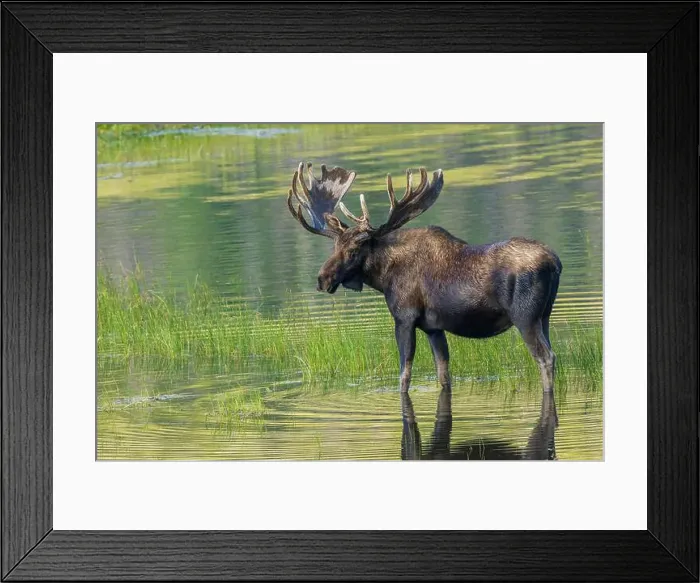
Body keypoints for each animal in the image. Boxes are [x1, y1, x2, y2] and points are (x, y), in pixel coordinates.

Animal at [286, 162, 562, 395]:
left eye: (354, 250)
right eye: (334, 247)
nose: (322, 279)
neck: (383, 277)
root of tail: (555, 263)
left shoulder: (404, 318)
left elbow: (404, 376)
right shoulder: (434, 327)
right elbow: (443, 374)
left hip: (524, 317)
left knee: (545, 357)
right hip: (544, 316)